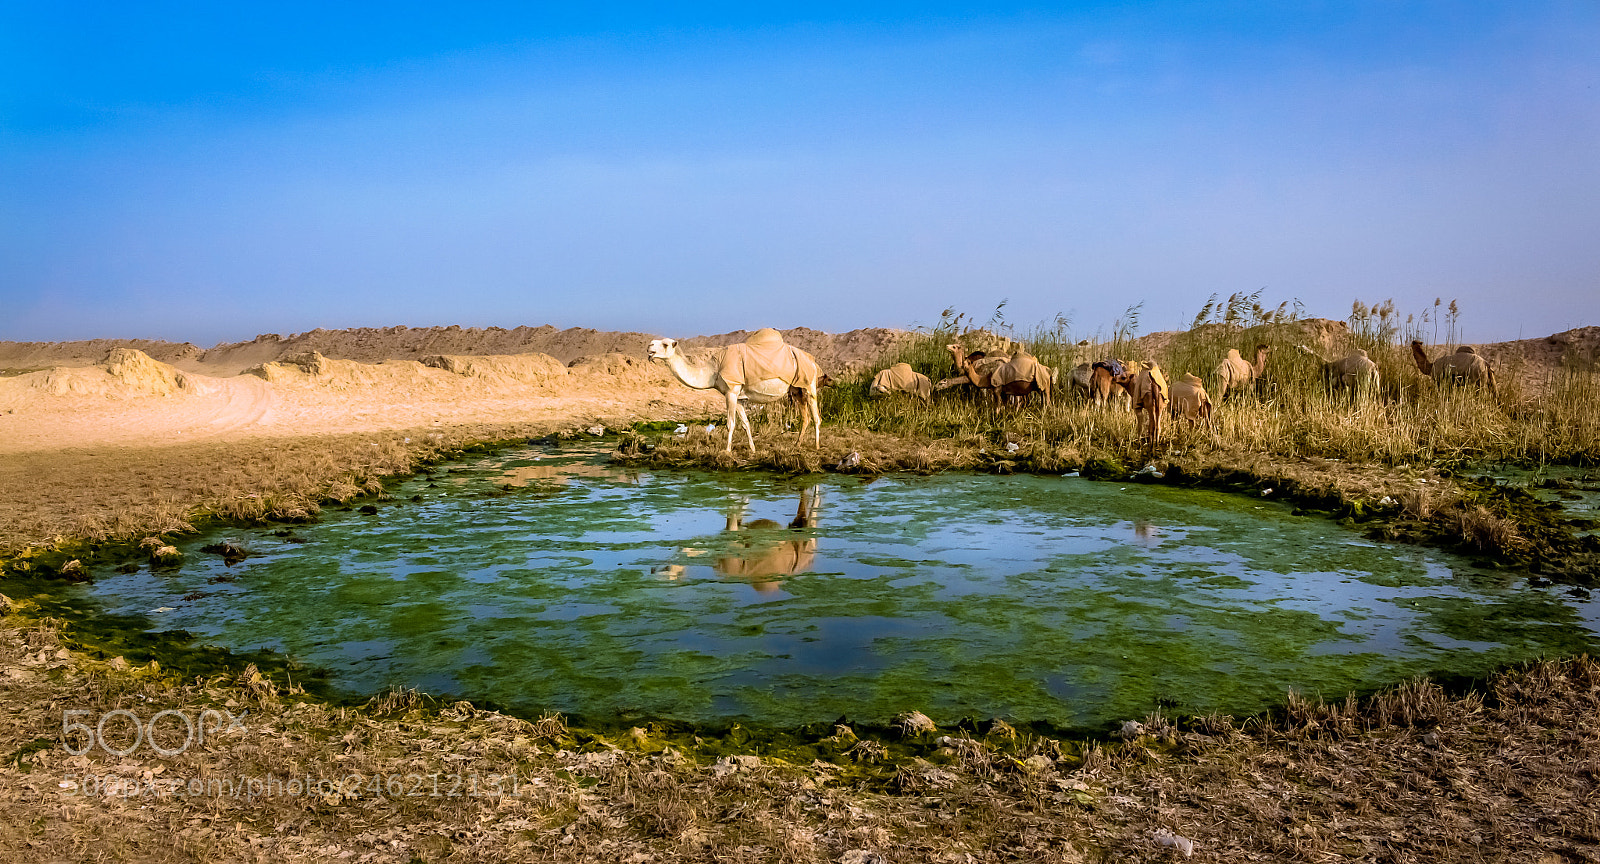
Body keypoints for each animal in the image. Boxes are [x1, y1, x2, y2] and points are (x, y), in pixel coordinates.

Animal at [648, 328, 822, 452]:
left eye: (665, 344)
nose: (649, 347)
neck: (714, 370)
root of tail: (813, 360)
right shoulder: (738, 397)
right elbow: (745, 423)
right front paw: (753, 449)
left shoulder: (731, 391)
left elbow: (730, 424)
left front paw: (727, 451)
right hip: (797, 388)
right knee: (805, 416)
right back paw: (797, 444)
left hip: (809, 383)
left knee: (816, 416)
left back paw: (816, 446)